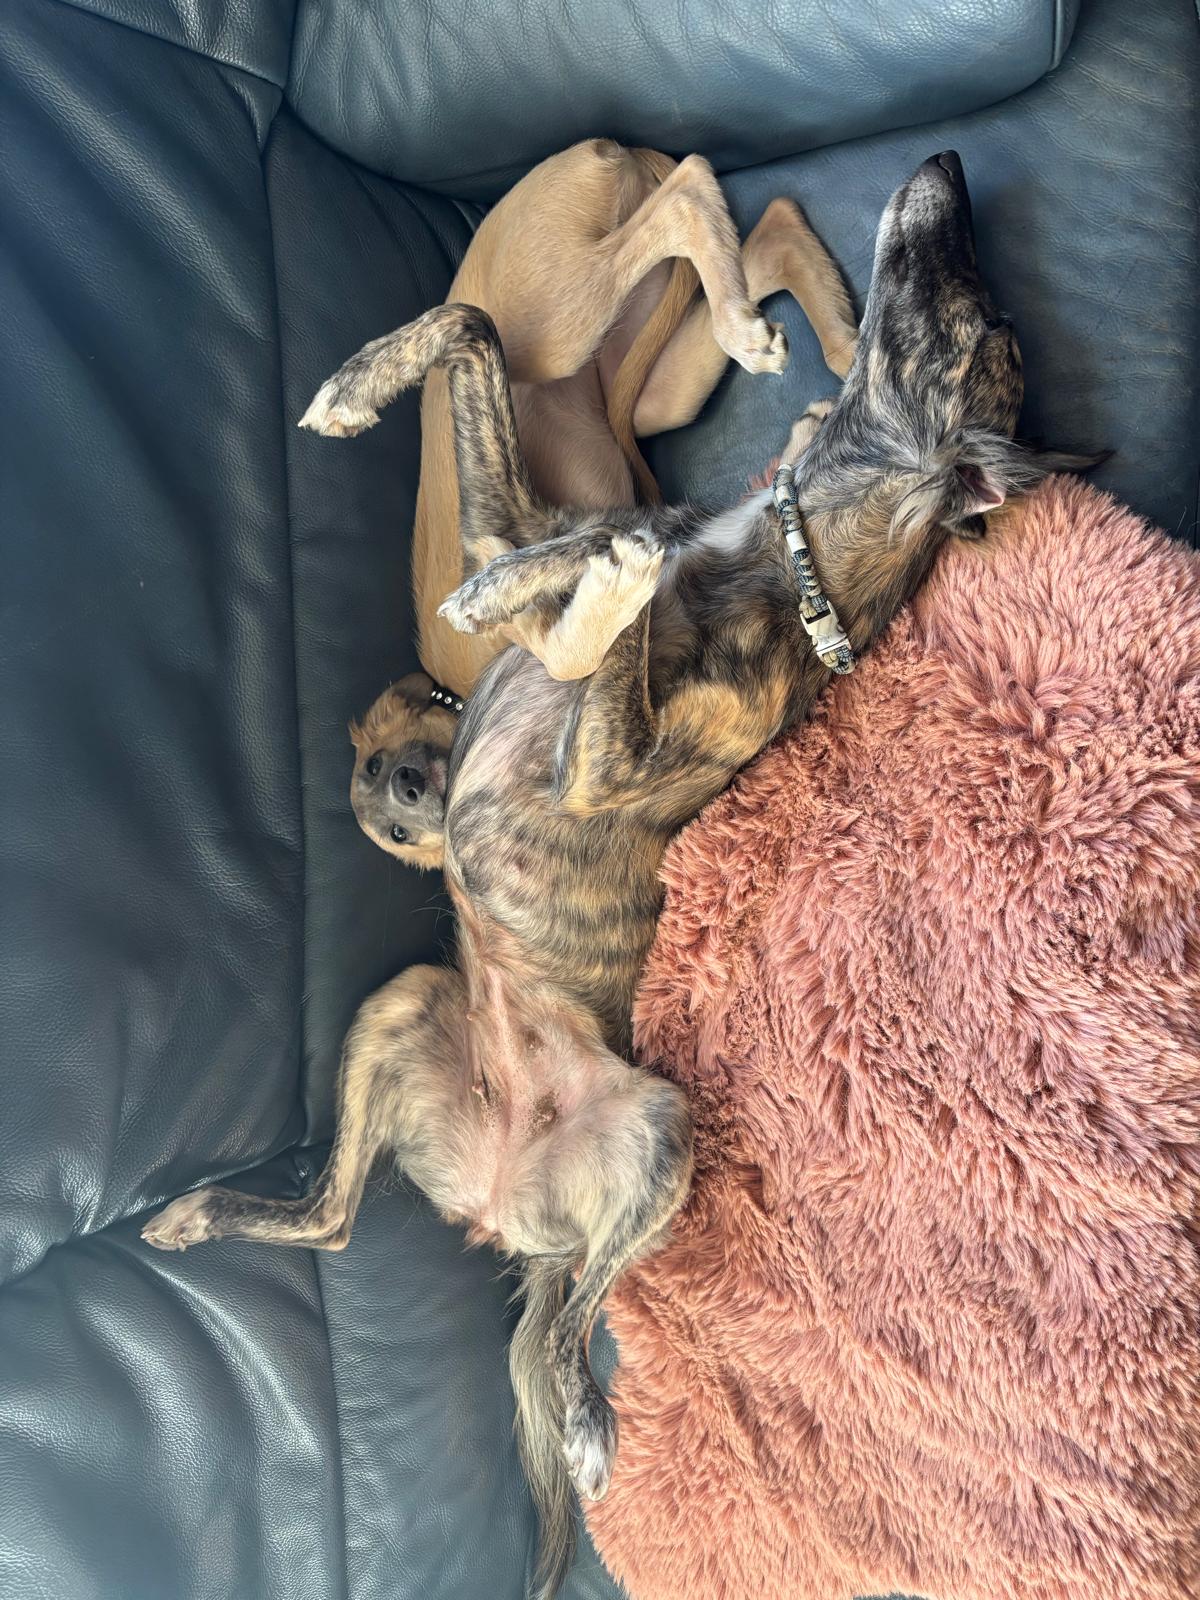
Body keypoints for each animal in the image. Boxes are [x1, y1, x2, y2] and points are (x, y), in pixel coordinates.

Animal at [330, 138, 859, 870]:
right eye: (397, 834)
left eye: (379, 768)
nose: (407, 785)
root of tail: (605, 147)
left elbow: (564, 646)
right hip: (651, 383)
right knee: (768, 232)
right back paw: (835, 340)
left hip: (556, 323)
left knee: (689, 190)